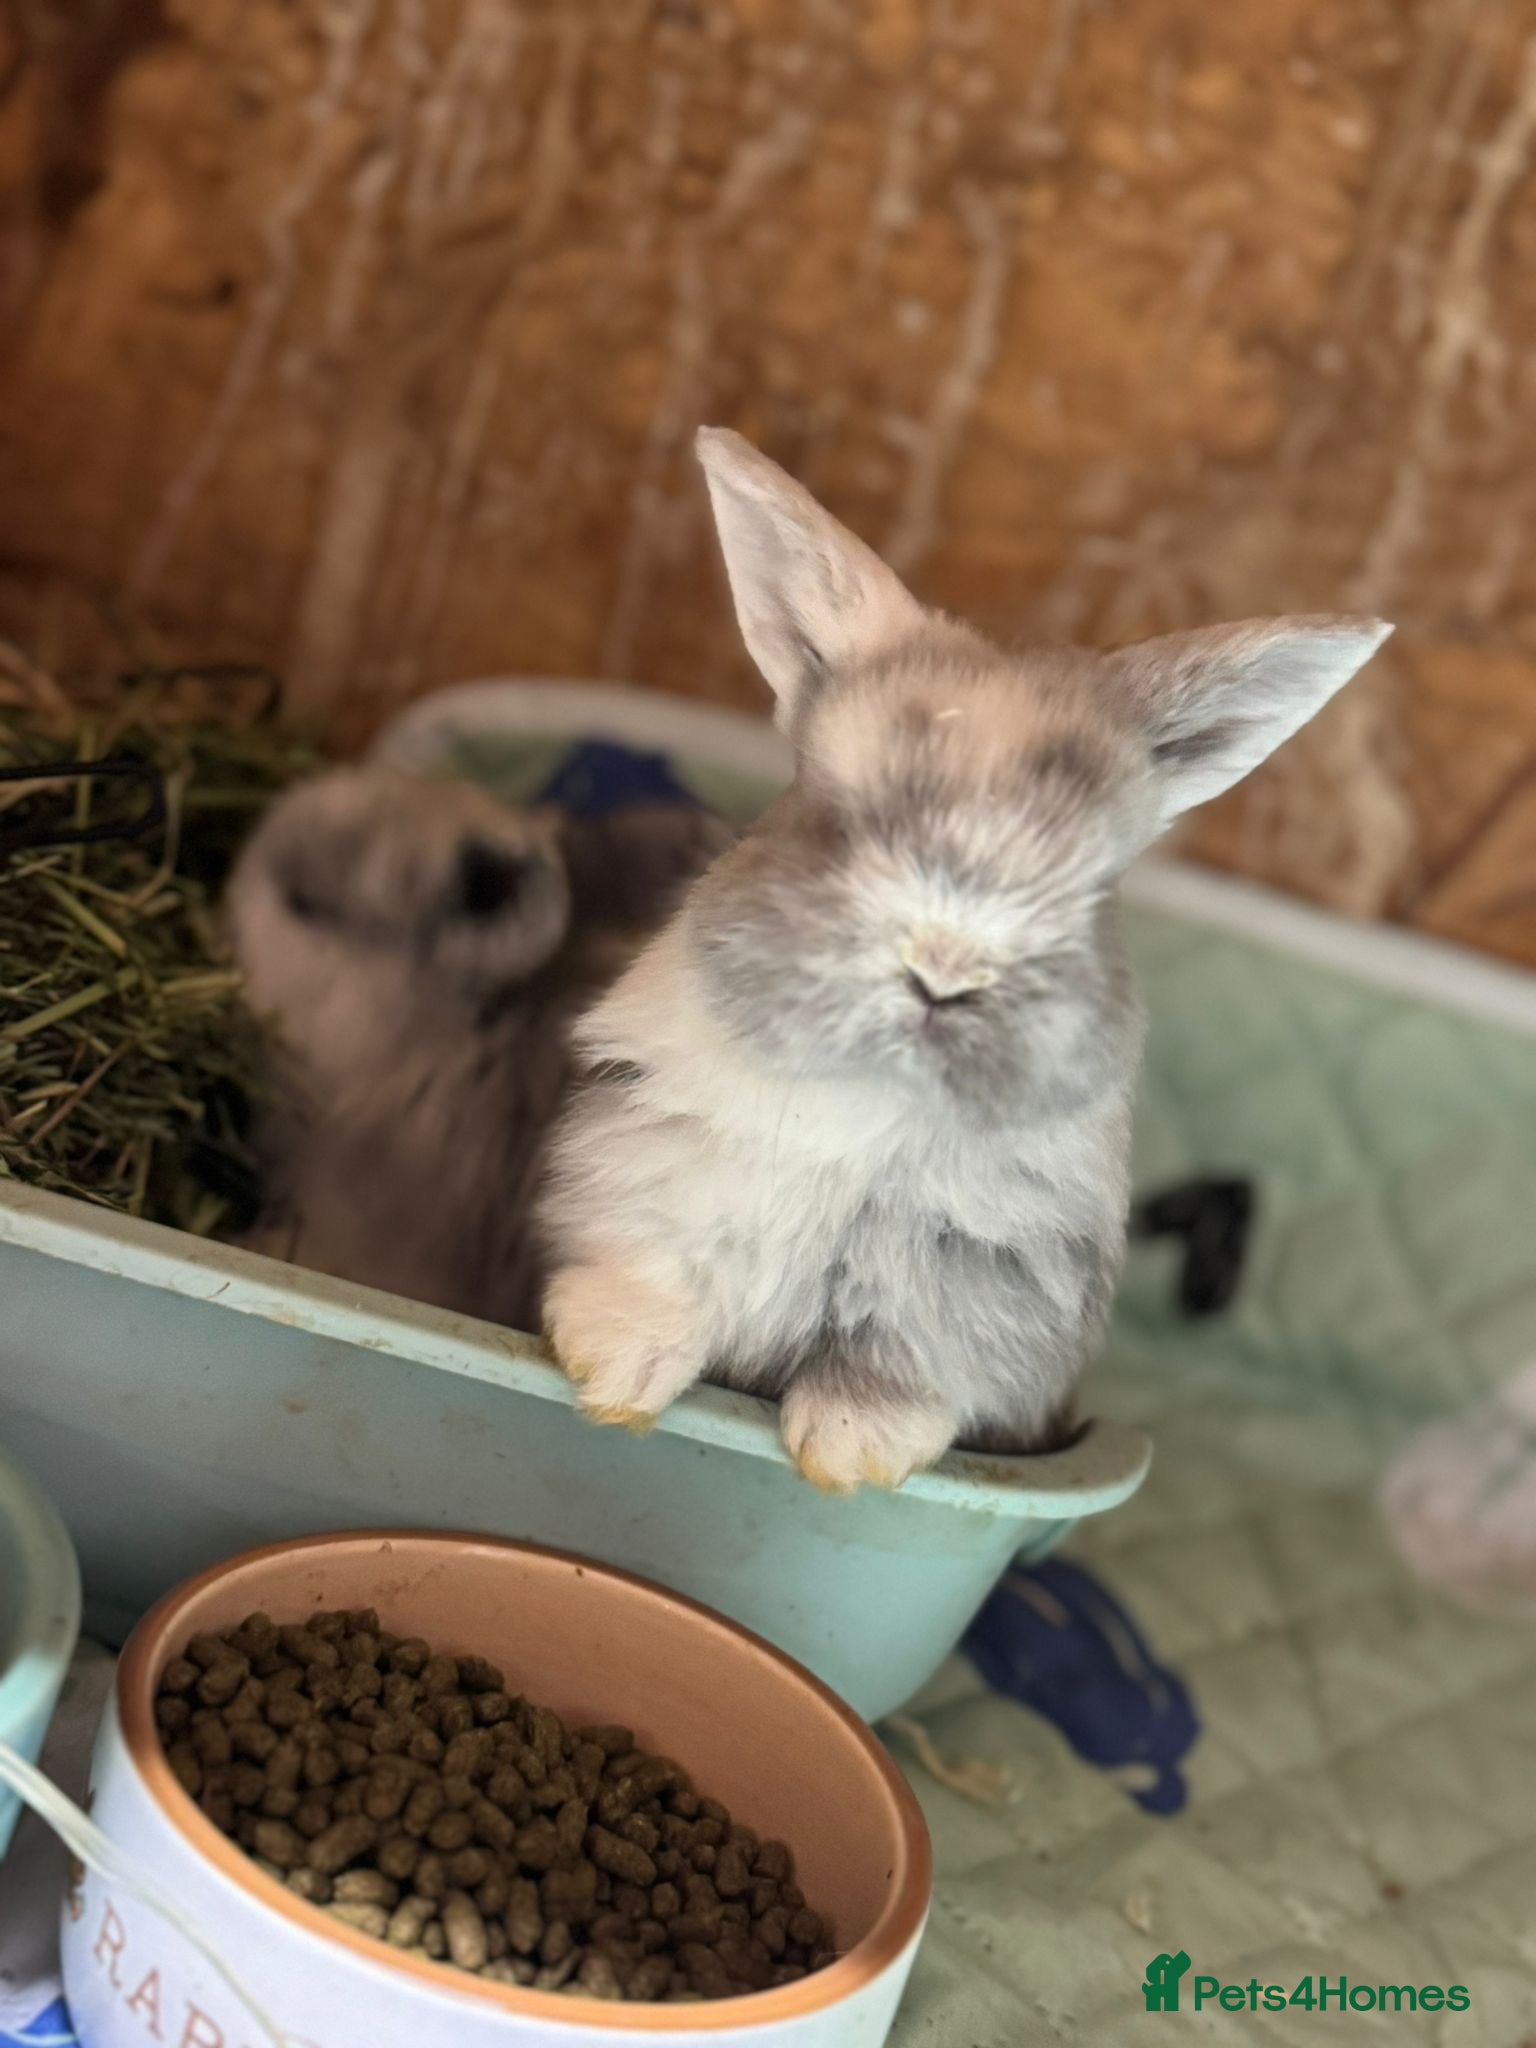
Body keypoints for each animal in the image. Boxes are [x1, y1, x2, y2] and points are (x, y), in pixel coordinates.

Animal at [539, 426, 1393, 1492]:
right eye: (836, 817)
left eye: (1093, 883)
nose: (945, 972)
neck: (873, 1090)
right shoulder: (652, 1155)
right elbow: (655, 1273)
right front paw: (608, 1375)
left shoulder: (986, 1271)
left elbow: (904, 1362)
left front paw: (849, 1454)